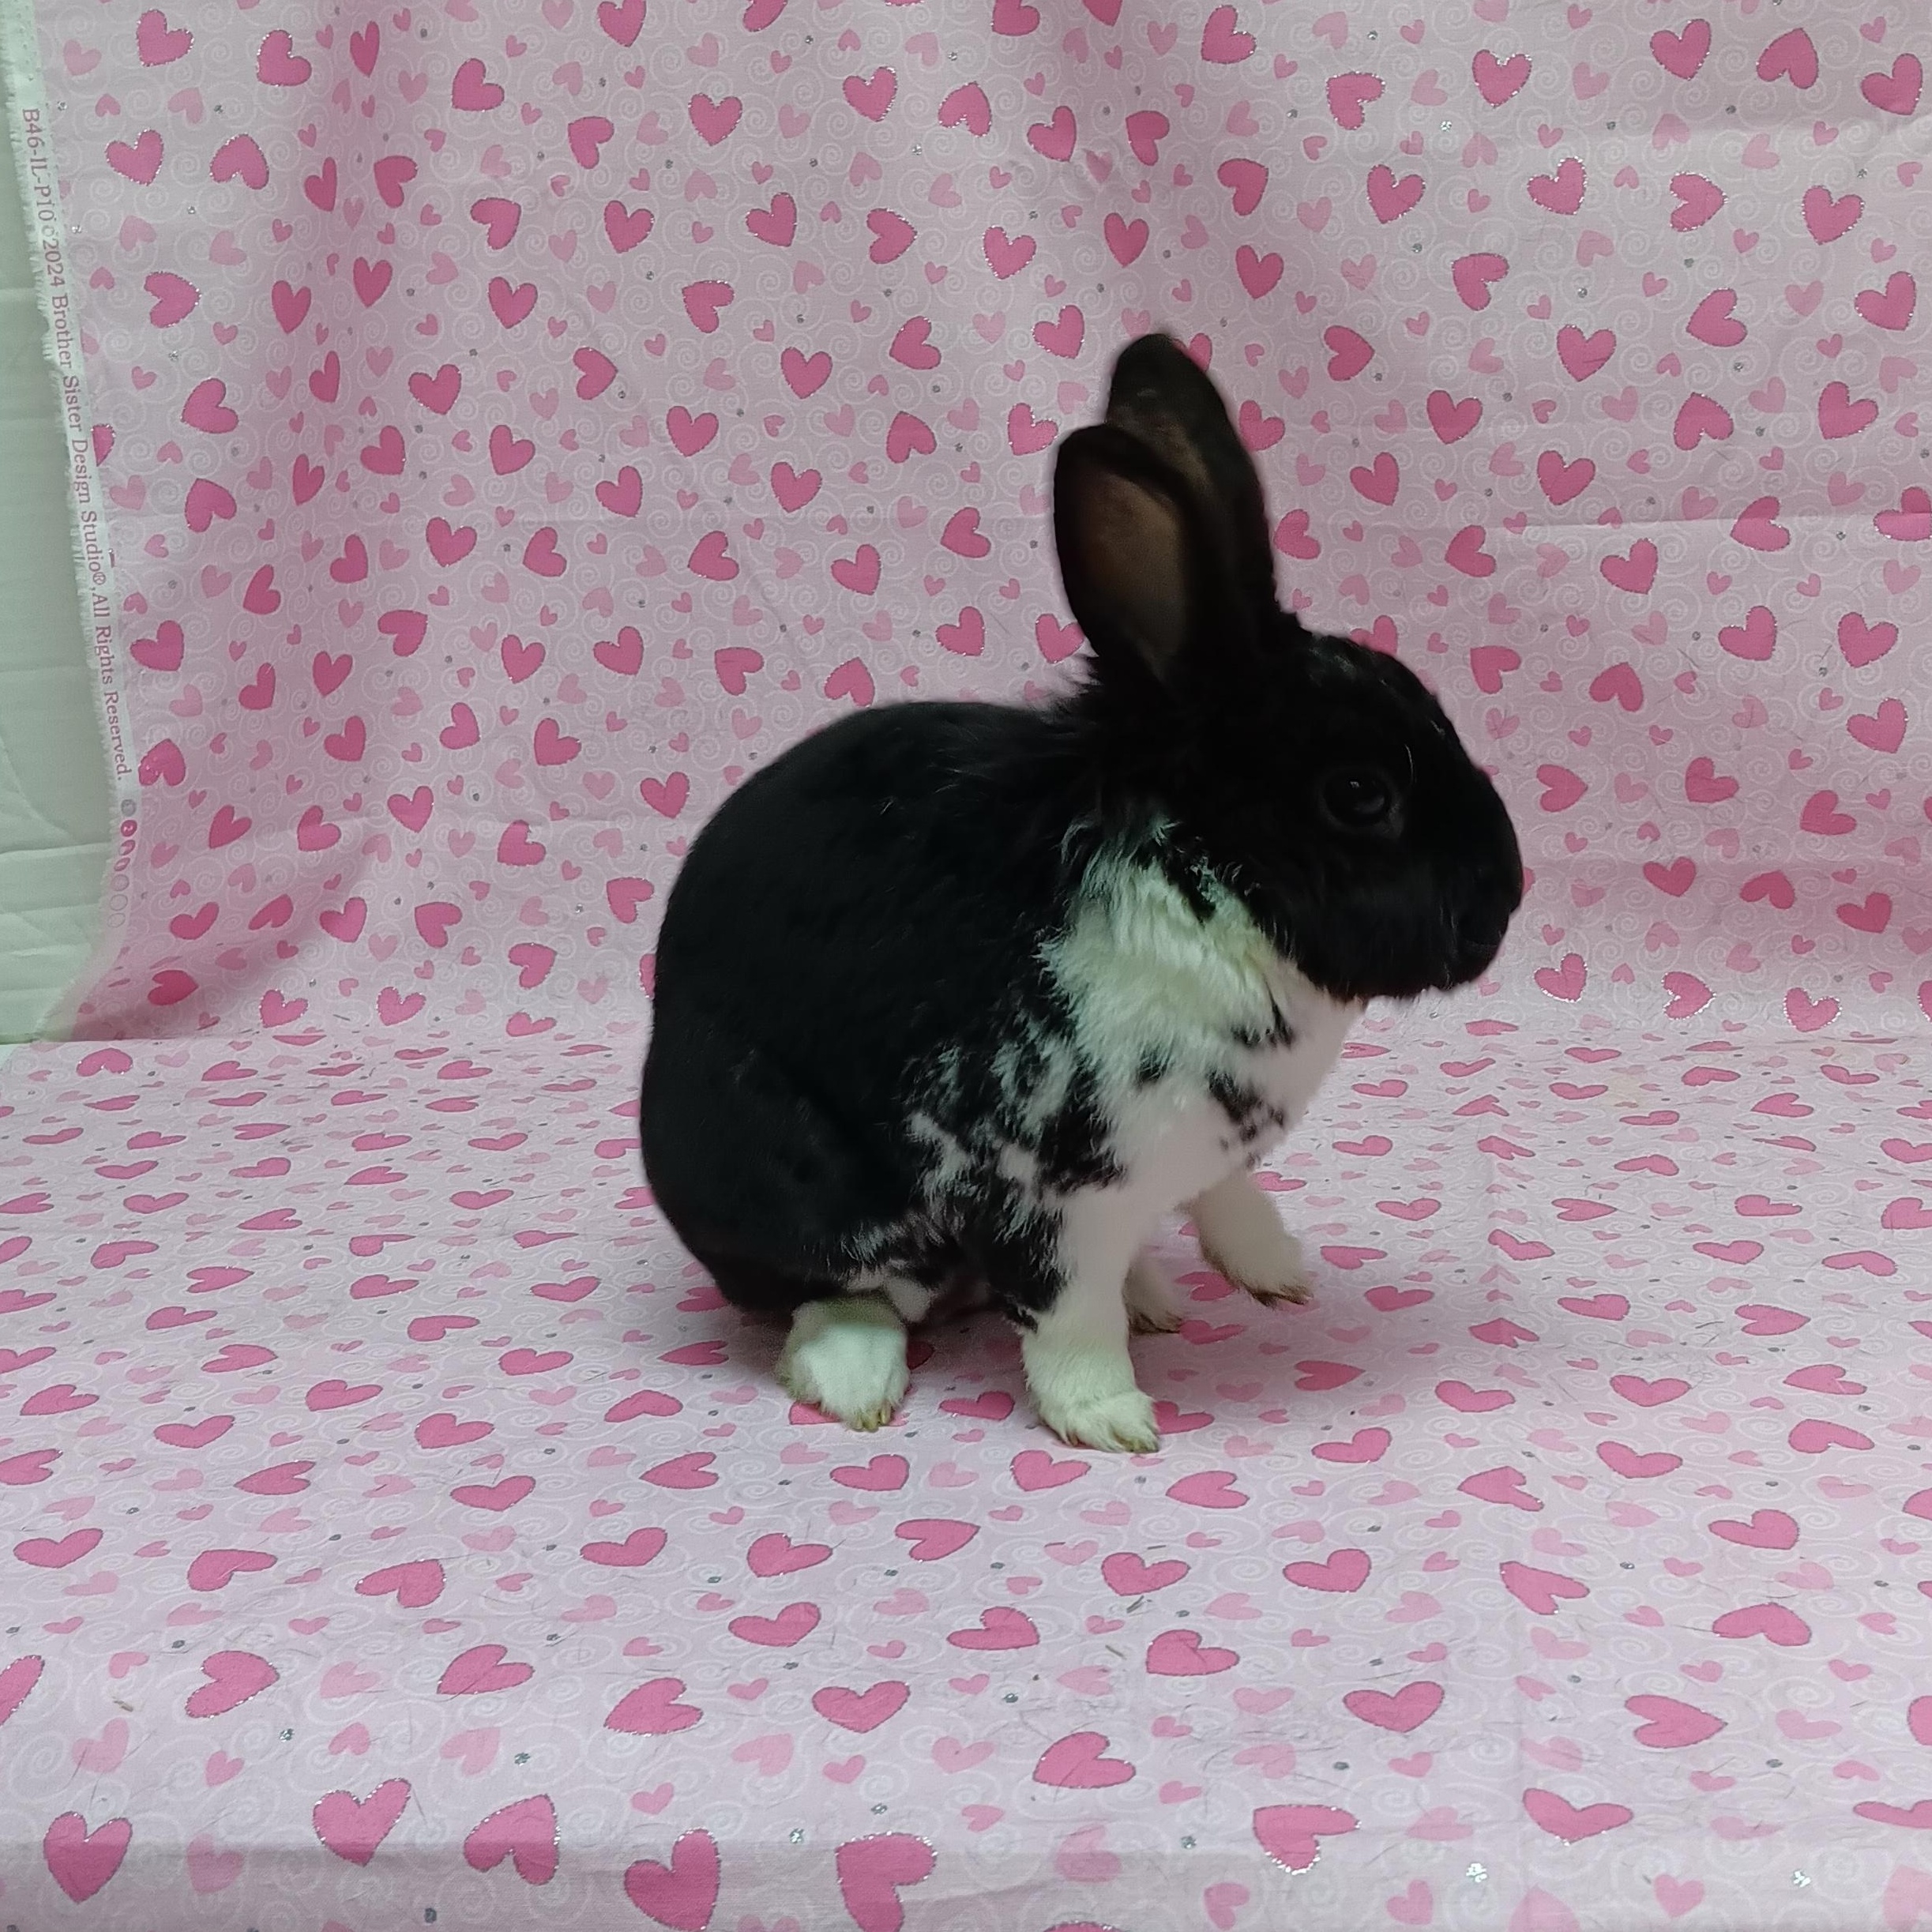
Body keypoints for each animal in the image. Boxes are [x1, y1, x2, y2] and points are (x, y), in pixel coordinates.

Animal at [640, 333, 1523, 1453]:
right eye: (1359, 794)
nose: (1504, 898)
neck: (1205, 877)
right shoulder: (1046, 1193)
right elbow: (1067, 1318)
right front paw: (1110, 1419)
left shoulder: (1200, 1153)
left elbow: (1227, 1197)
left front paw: (1273, 1272)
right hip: (788, 1179)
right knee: (834, 1291)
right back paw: (855, 1377)